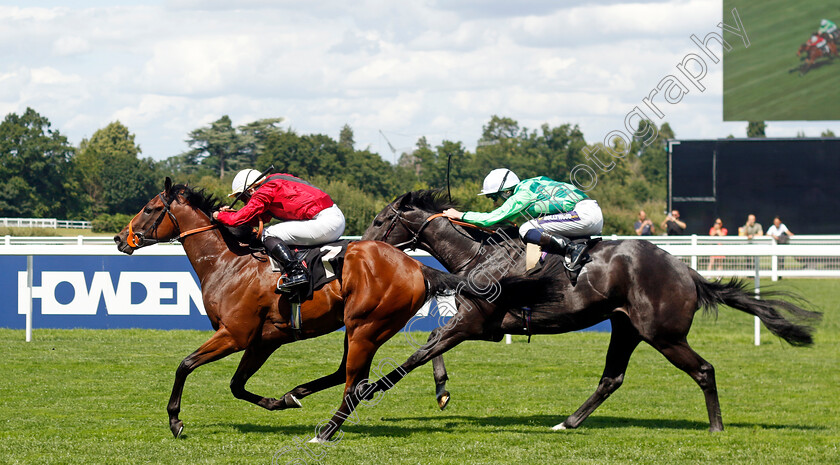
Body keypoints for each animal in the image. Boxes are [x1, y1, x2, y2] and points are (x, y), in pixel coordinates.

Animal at [113, 177, 544, 438]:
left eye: (150, 208)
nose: (120, 238)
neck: (228, 263)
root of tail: (416, 266)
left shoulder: (233, 335)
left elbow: (184, 365)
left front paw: (175, 420)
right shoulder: (262, 340)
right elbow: (237, 385)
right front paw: (277, 401)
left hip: (366, 326)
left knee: (356, 380)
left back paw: (328, 428)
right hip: (360, 329)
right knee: (351, 373)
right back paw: (299, 393)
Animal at [360, 188, 820, 432]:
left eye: (383, 219)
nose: (361, 245)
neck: (478, 257)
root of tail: (687, 272)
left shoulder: (473, 322)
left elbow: (420, 352)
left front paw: (369, 389)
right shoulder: (476, 325)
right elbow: (430, 347)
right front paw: (442, 392)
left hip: (664, 334)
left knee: (703, 370)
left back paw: (716, 427)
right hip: (626, 328)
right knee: (612, 378)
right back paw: (568, 422)